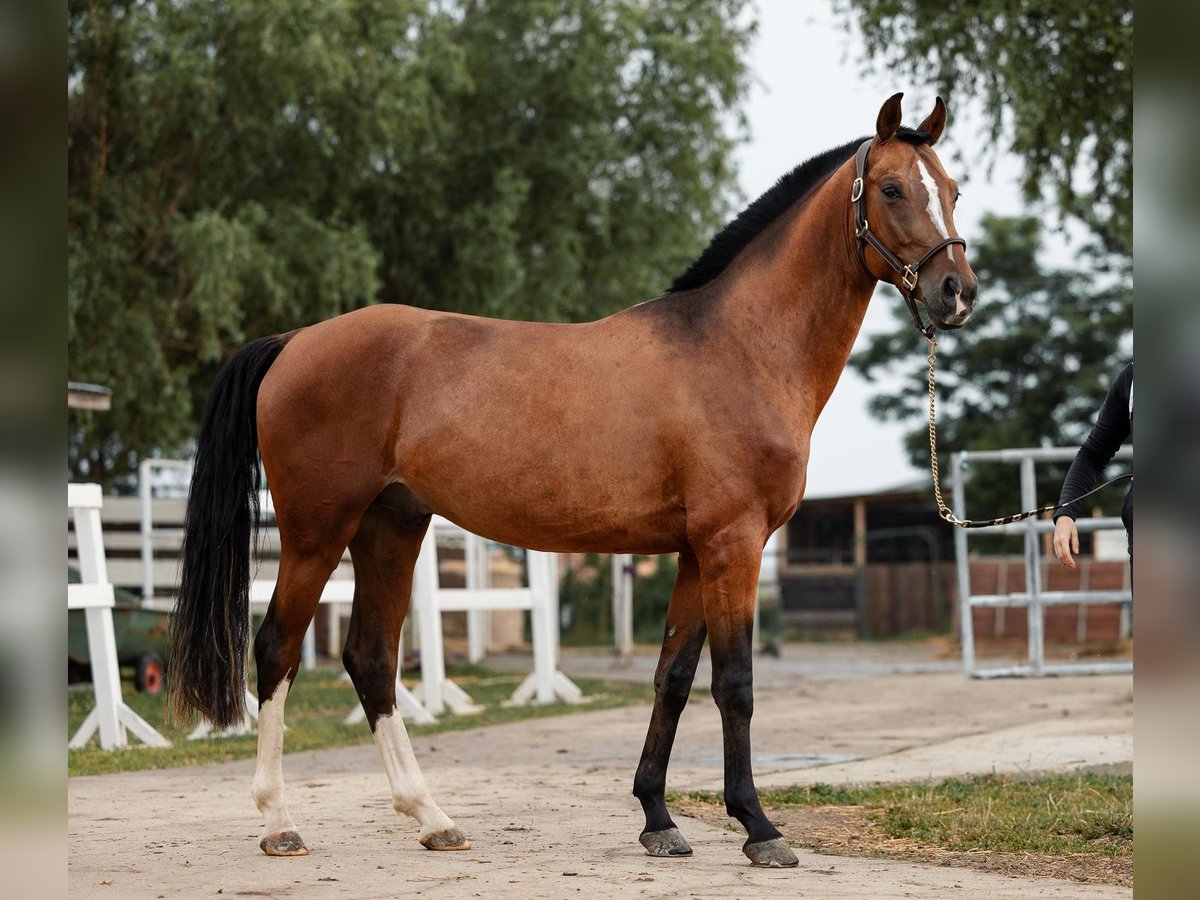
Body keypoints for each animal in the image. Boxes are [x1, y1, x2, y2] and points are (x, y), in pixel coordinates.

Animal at [169, 95, 974, 868]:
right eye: (893, 188)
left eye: (955, 190)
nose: (956, 292)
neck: (737, 347)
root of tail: (293, 342)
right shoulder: (733, 544)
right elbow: (735, 684)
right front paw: (758, 827)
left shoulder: (694, 552)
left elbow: (673, 678)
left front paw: (658, 820)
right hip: (317, 531)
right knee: (277, 648)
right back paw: (280, 823)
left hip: (391, 526)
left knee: (371, 657)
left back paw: (432, 819)